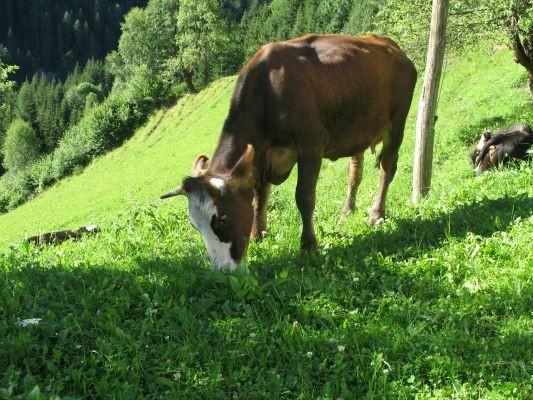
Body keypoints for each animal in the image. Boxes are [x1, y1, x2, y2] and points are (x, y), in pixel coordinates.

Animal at [160, 34, 418, 270]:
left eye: (222, 219)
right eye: (194, 225)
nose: (221, 269)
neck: (268, 92)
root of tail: (393, 46)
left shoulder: (311, 145)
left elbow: (304, 197)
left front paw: (308, 245)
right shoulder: (261, 156)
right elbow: (259, 197)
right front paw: (258, 233)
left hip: (397, 124)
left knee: (387, 169)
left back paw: (376, 214)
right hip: (358, 129)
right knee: (355, 173)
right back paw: (347, 211)